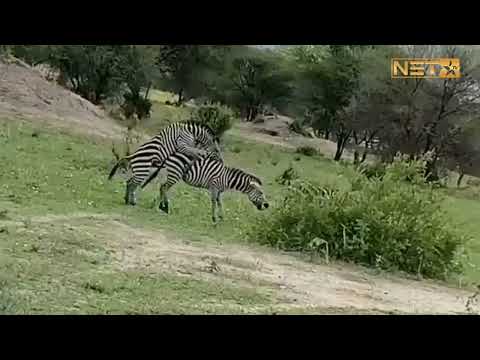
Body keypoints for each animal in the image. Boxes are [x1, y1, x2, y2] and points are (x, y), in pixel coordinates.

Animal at [142, 149, 270, 222]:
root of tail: (172, 153)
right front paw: (214, 218)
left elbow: (219, 203)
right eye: (261, 193)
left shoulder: (218, 191)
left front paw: (221, 217)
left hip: (173, 174)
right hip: (175, 174)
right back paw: (162, 207)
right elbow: (213, 202)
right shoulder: (214, 187)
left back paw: (161, 206)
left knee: (162, 187)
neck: (227, 178)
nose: (267, 205)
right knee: (163, 187)